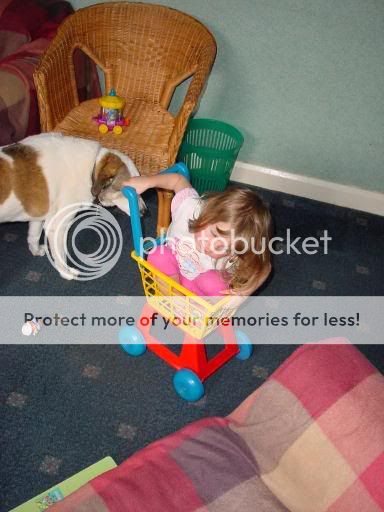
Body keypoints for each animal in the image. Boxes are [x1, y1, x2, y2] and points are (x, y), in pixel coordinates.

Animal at [0, 130, 144, 278]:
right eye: (130, 192)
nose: (144, 211)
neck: (91, 168)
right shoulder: (57, 226)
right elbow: (60, 255)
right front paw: (66, 272)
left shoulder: (39, 216)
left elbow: (33, 235)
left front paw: (35, 250)